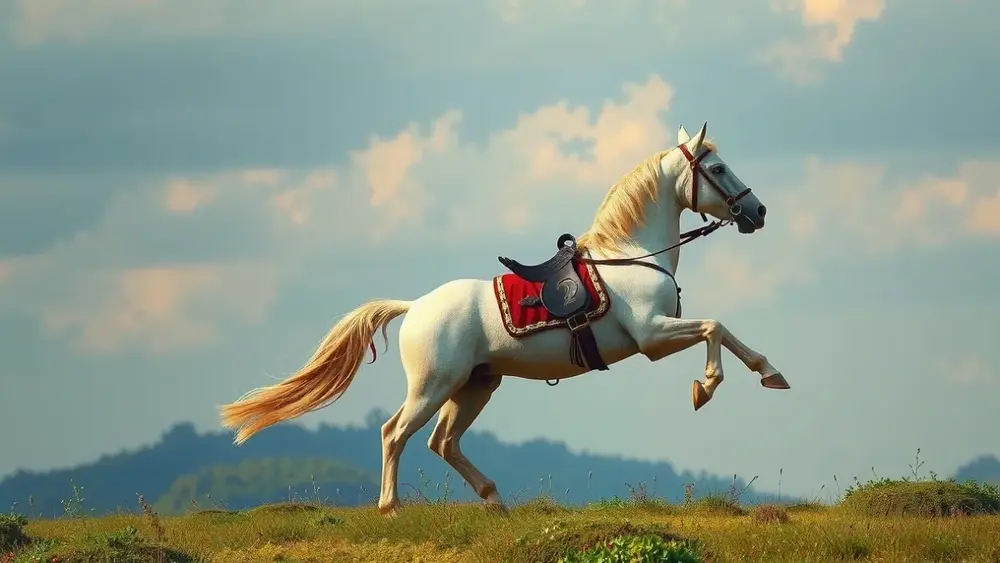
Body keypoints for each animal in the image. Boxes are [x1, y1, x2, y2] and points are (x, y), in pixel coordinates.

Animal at [218, 122, 789, 516]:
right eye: (718, 169)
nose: (758, 212)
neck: (630, 255)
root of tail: (414, 307)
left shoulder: (658, 334)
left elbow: (727, 333)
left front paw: (770, 374)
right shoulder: (651, 336)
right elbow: (716, 328)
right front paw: (707, 387)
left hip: (475, 386)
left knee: (441, 442)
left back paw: (494, 500)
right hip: (434, 385)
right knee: (394, 433)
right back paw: (391, 507)